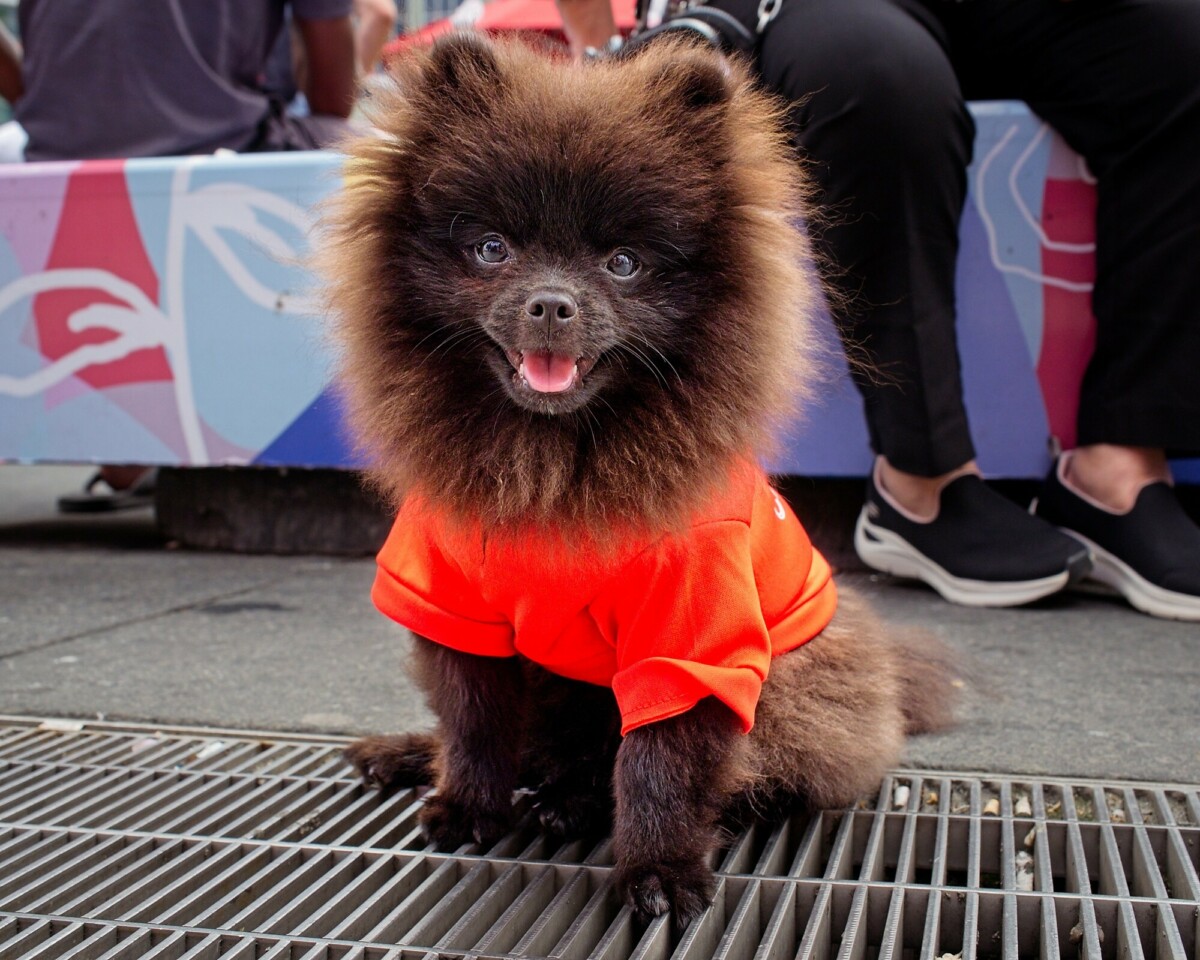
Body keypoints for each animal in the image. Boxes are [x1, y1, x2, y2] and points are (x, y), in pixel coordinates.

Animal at [324, 33, 960, 926]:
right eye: (492, 248)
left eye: (622, 263)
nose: (552, 303)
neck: (552, 462)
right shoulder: (452, 601)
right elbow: (474, 717)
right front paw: (468, 803)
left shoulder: (693, 629)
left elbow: (663, 756)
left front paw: (658, 868)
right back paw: (416, 756)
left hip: (797, 690)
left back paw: (576, 803)